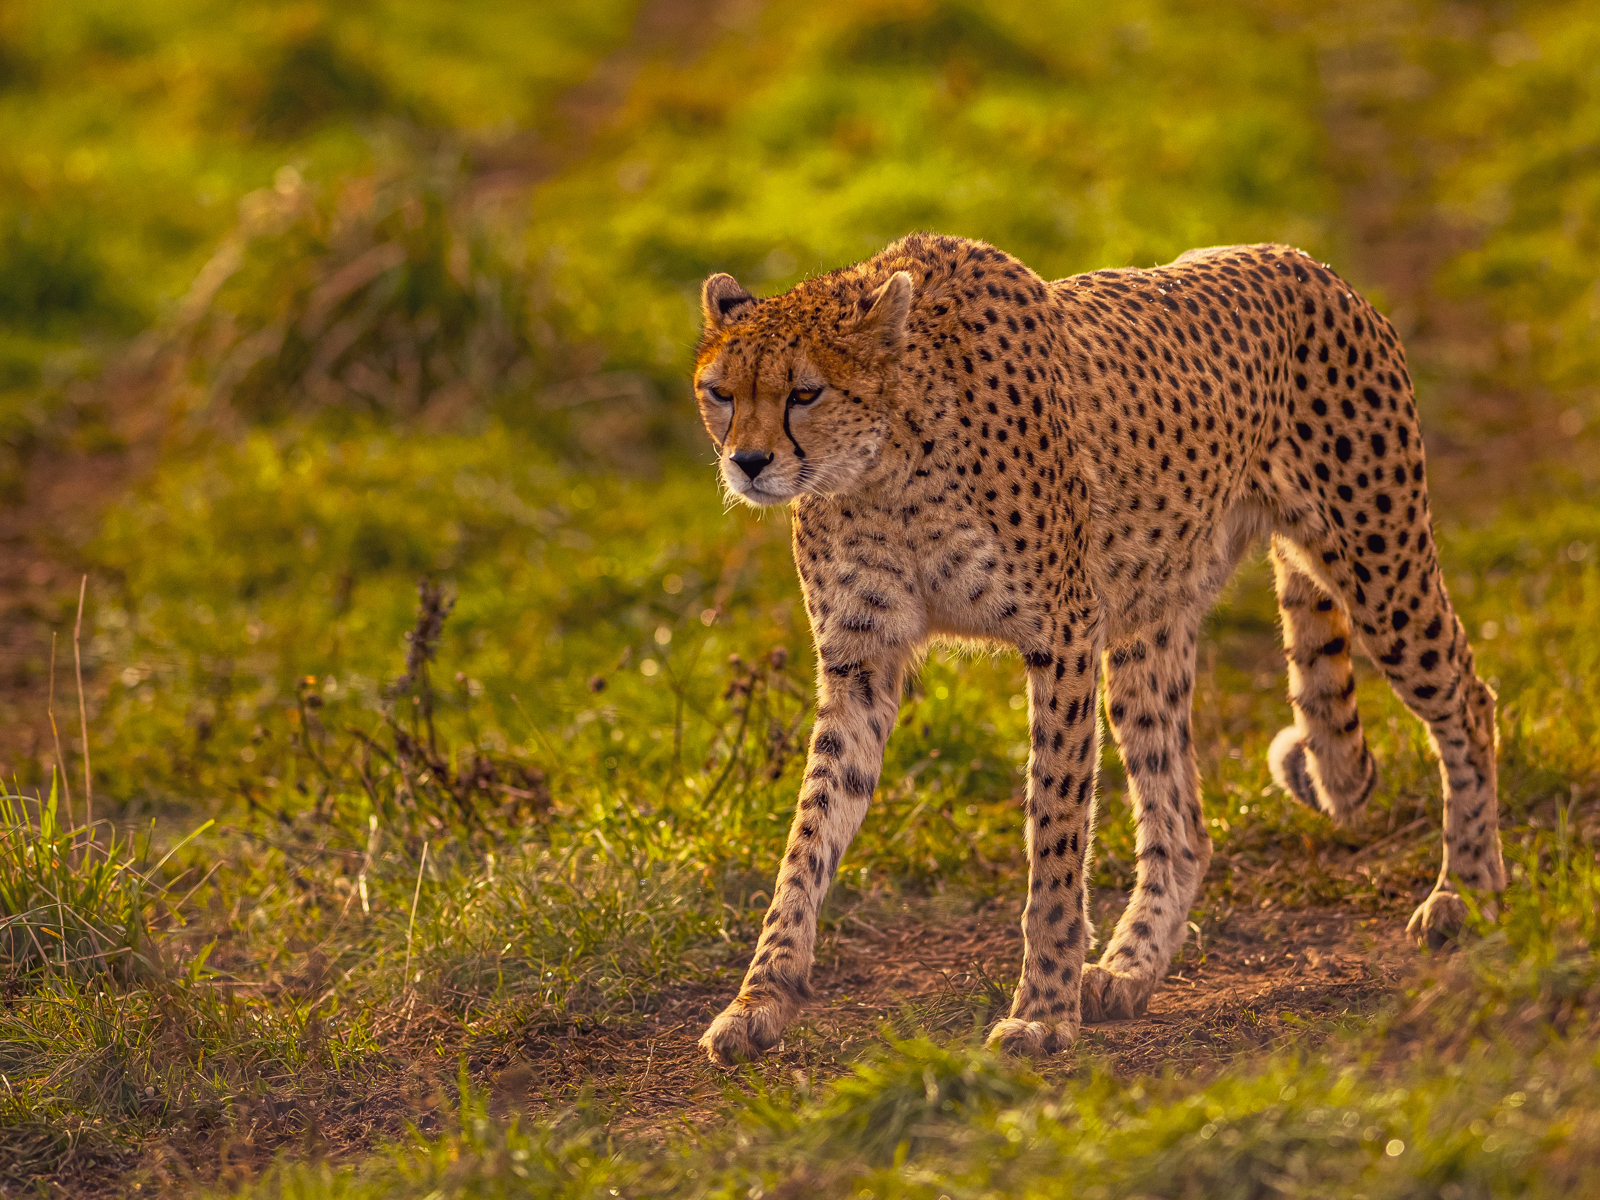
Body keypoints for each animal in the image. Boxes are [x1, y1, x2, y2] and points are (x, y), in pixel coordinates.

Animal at [689, 232, 1506, 1065]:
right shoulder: (861, 662)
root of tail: (1299, 259)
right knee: (1184, 825)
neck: (884, 467)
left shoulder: (1063, 634)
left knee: (1470, 701)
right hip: (1151, 626)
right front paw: (761, 997)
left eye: (805, 393)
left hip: (1380, 565)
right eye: (720, 392)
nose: (748, 462)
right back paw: (1128, 968)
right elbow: (810, 834)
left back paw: (1466, 891)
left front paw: (1043, 1011)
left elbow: (1054, 835)